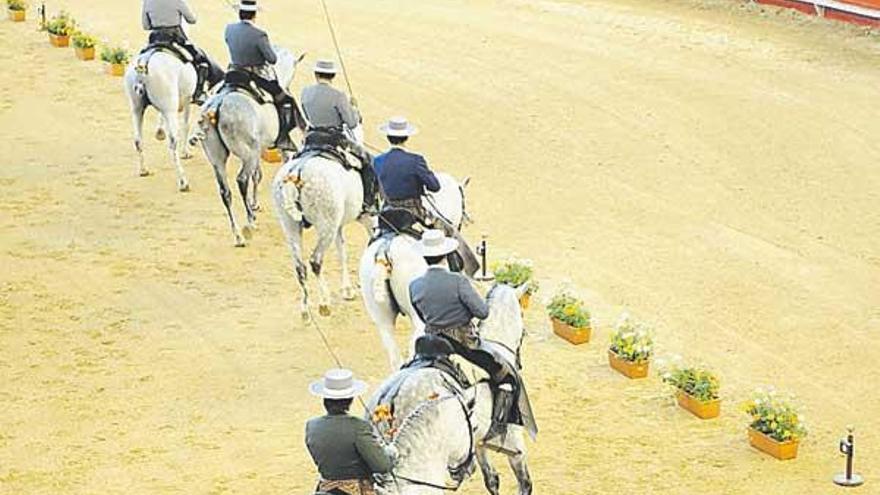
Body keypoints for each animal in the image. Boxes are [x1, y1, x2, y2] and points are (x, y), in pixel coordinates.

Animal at [124, 50, 197, 190]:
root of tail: (142, 65)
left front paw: (159, 132)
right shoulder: (186, 99)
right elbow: (186, 124)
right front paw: (185, 152)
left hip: (137, 109)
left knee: (137, 140)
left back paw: (143, 170)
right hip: (170, 108)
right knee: (173, 143)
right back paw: (183, 182)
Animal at [198, 47, 304, 248]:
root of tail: (217, 105)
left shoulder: (259, 149)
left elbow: (257, 175)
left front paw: (255, 203)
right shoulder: (275, 150)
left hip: (217, 159)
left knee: (225, 191)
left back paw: (238, 235)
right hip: (248, 154)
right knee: (241, 180)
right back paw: (250, 221)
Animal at [366, 284, 532, 495]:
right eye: (523, 328)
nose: (519, 363)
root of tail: (388, 401)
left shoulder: (476, 441)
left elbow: (491, 480)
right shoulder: (516, 449)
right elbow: (524, 483)